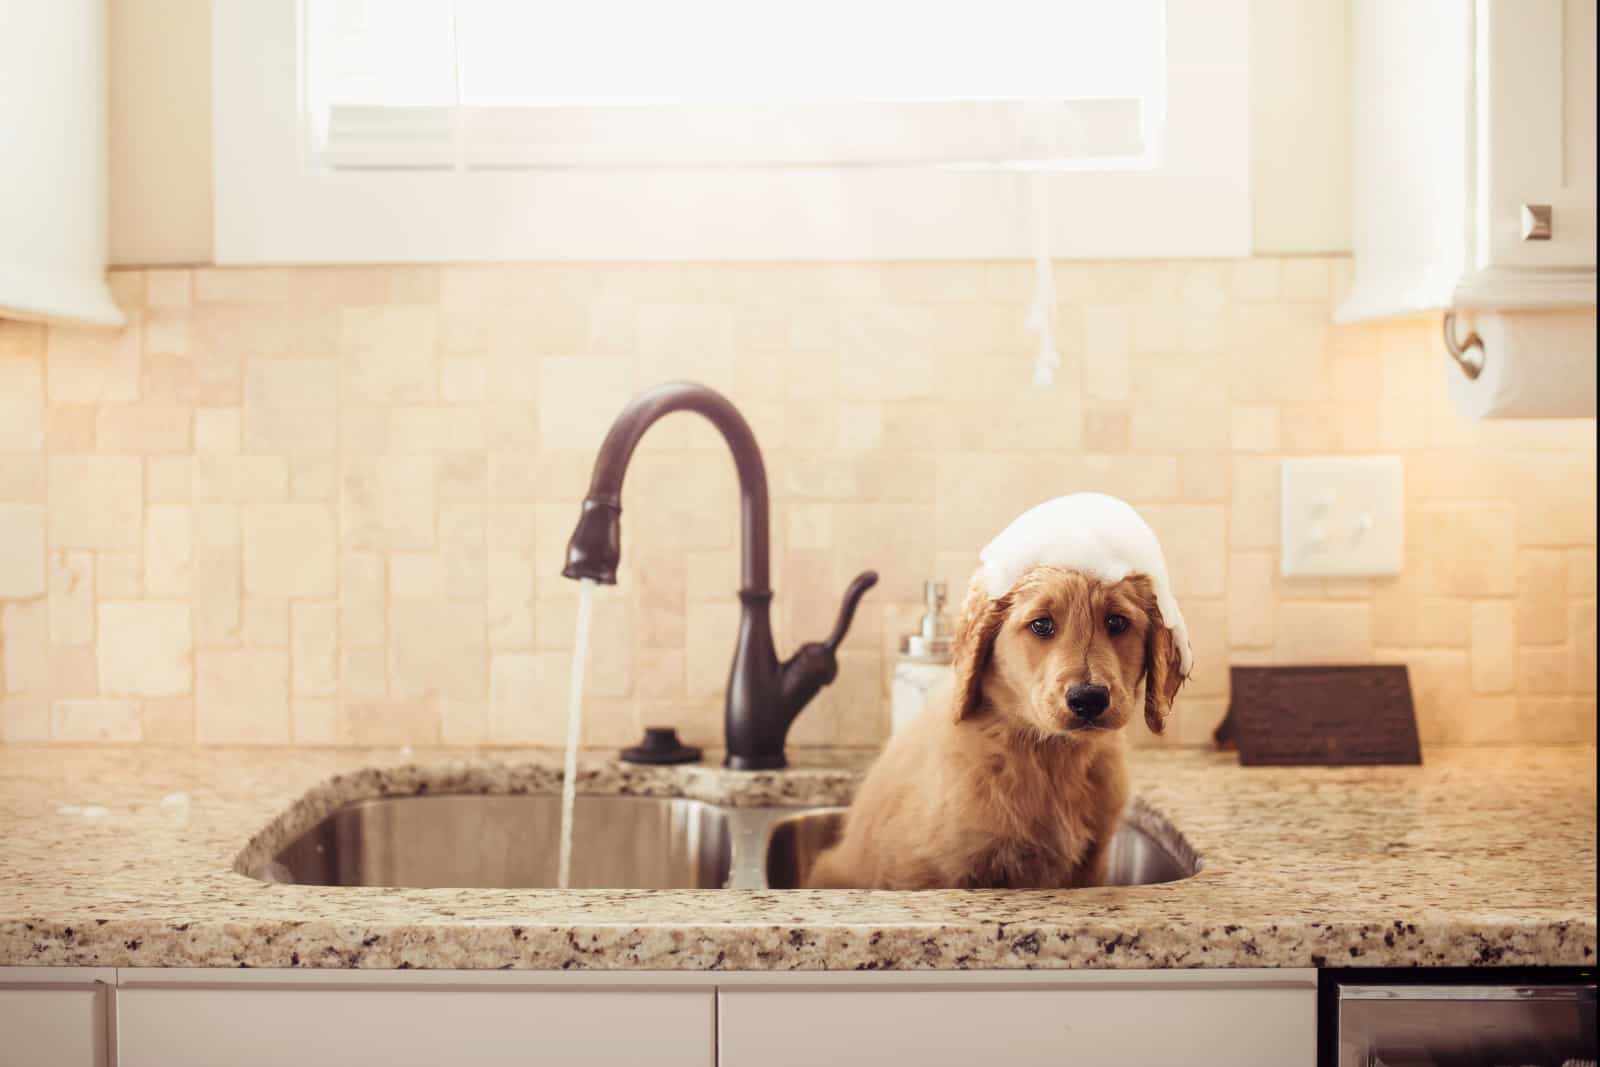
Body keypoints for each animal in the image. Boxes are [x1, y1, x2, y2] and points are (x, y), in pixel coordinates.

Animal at [806, 566, 1184, 895]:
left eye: (1117, 622)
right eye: (1042, 625)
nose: (1089, 699)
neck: (1049, 755)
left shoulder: (1093, 860)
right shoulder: (939, 867)